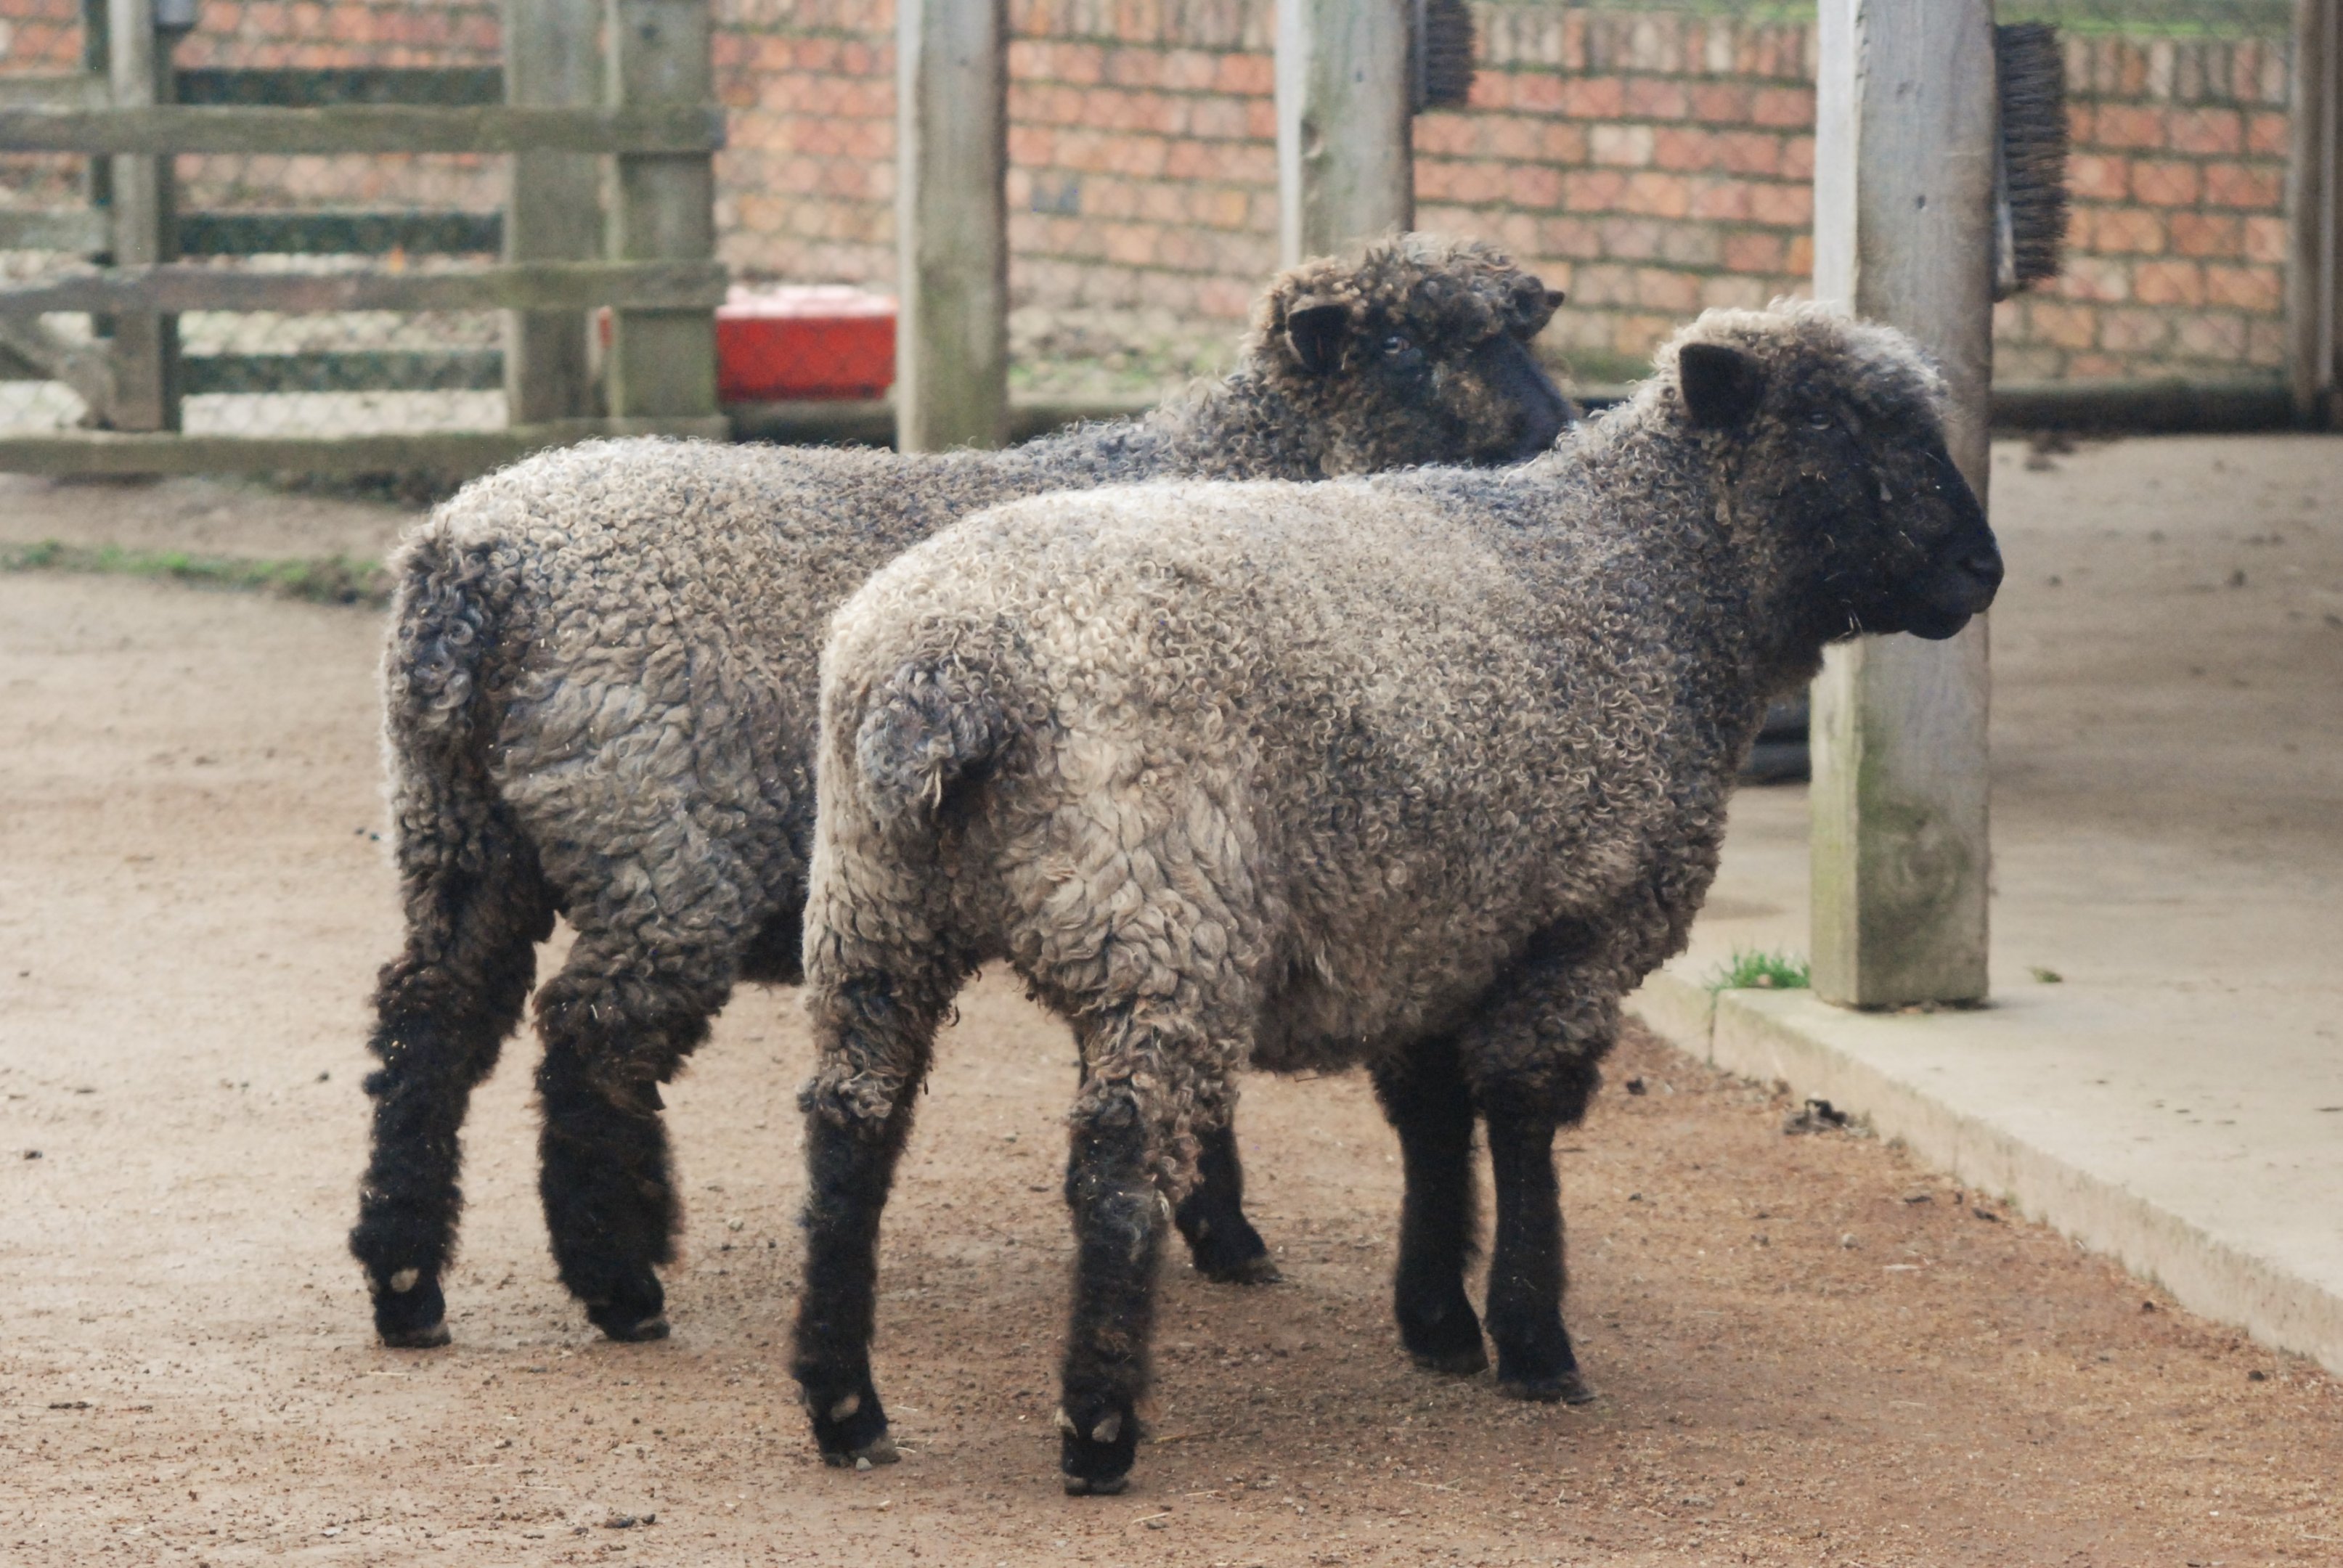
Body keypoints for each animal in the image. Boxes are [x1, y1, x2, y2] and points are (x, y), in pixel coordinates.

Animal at [351, 234, 1575, 1350]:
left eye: (1526, 331)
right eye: (1402, 343)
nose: (1553, 439)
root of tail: (469, 563)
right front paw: (1223, 1234)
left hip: (460, 831)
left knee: (431, 1017)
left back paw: (407, 1285)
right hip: (656, 845)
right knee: (587, 1042)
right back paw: (618, 1285)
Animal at [792, 302, 2004, 1491]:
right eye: (1833, 421)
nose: (1979, 569)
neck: (1651, 578)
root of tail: (940, 675)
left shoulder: (1428, 920)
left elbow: (1429, 1118)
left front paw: (1436, 1322)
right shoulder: (1578, 924)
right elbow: (1520, 1118)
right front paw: (1532, 1342)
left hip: (873, 909)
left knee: (851, 1129)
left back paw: (844, 1406)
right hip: (1159, 919)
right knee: (1115, 1163)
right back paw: (1095, 1426)